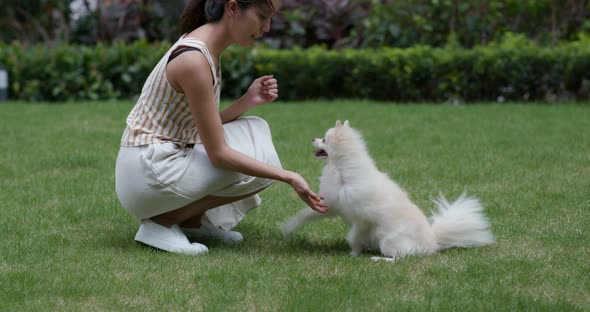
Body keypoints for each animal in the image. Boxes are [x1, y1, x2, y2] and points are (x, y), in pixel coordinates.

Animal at [282, 120, 494, 260]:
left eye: (324, 139)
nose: (313, 138)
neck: (341, 169)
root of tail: (433, 241)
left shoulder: (361, 220)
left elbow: (353, 236)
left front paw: (353, 253)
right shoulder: (331, 206)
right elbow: (304, 215)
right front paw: (288, 227)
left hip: (388, 241)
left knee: (400, 258)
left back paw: (379, 259)